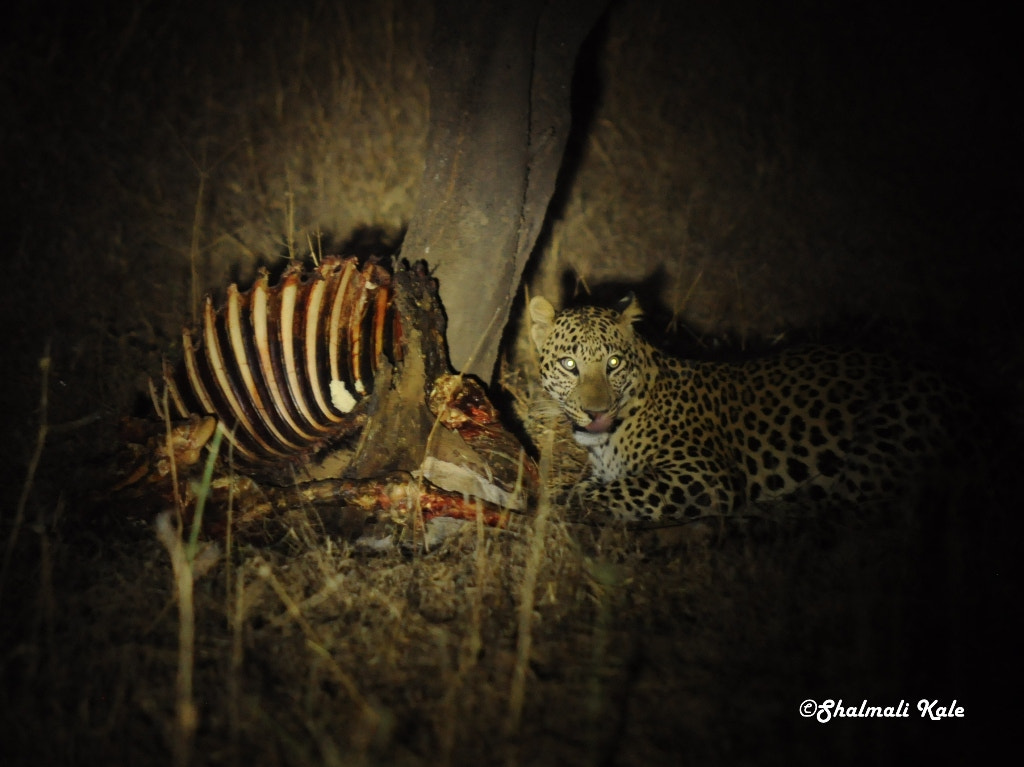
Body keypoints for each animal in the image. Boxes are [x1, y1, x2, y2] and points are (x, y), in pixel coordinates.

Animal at [528, 294, 967, 526]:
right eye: (570, 364)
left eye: (614, 363)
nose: (597, 413)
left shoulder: (703, 474)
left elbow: (613, 491)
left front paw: (560, 504)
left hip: (886, 430)